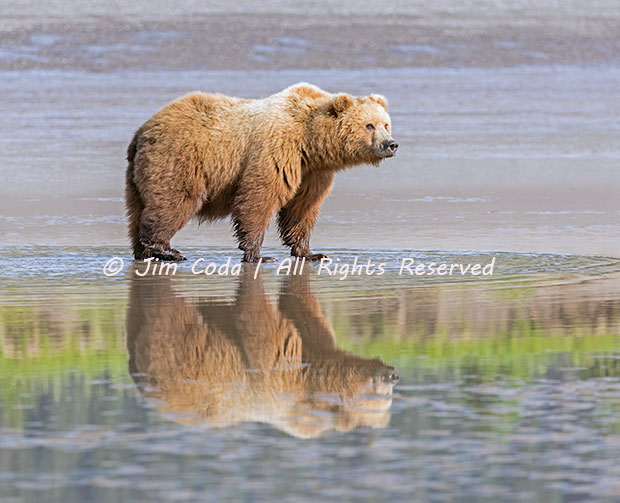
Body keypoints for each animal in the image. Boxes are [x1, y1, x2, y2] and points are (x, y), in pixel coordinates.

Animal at [126, 81, 398, 264]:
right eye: (369, 125)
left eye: (386, 124)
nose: (391, 144)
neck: (310, 142)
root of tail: (142, 131)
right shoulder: (276, 151)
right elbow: (258, 198)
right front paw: (258, 255)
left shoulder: (312, 173)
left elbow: (302, 208)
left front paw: (312, 253)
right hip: (179, 159)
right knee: (174, 201)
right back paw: (166, 249)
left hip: (138, 175)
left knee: (137, 210)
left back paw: (144, 252)